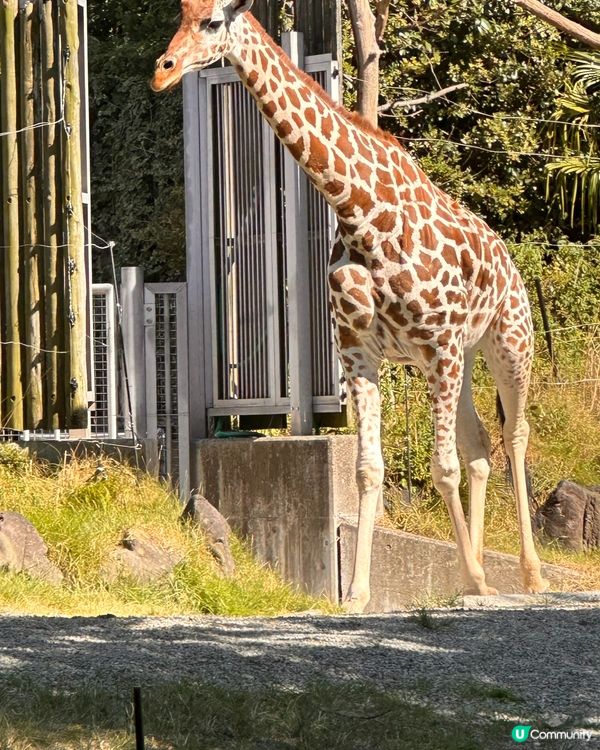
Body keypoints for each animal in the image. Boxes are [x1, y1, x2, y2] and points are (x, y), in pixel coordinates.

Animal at [152, 0, 552, 612]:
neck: (360, 210)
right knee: (481, 445)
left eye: (213, 22)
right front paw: (361, 592)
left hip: (507, 340)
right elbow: (368, 470)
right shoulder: (360, 353)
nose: (163, 70)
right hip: (461, 358)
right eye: (180, 14)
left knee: (515, 435)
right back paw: (480, 570)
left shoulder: (437, 346)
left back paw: (528, 576)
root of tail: (509, 261)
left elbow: (442, 469)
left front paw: (472, 577)